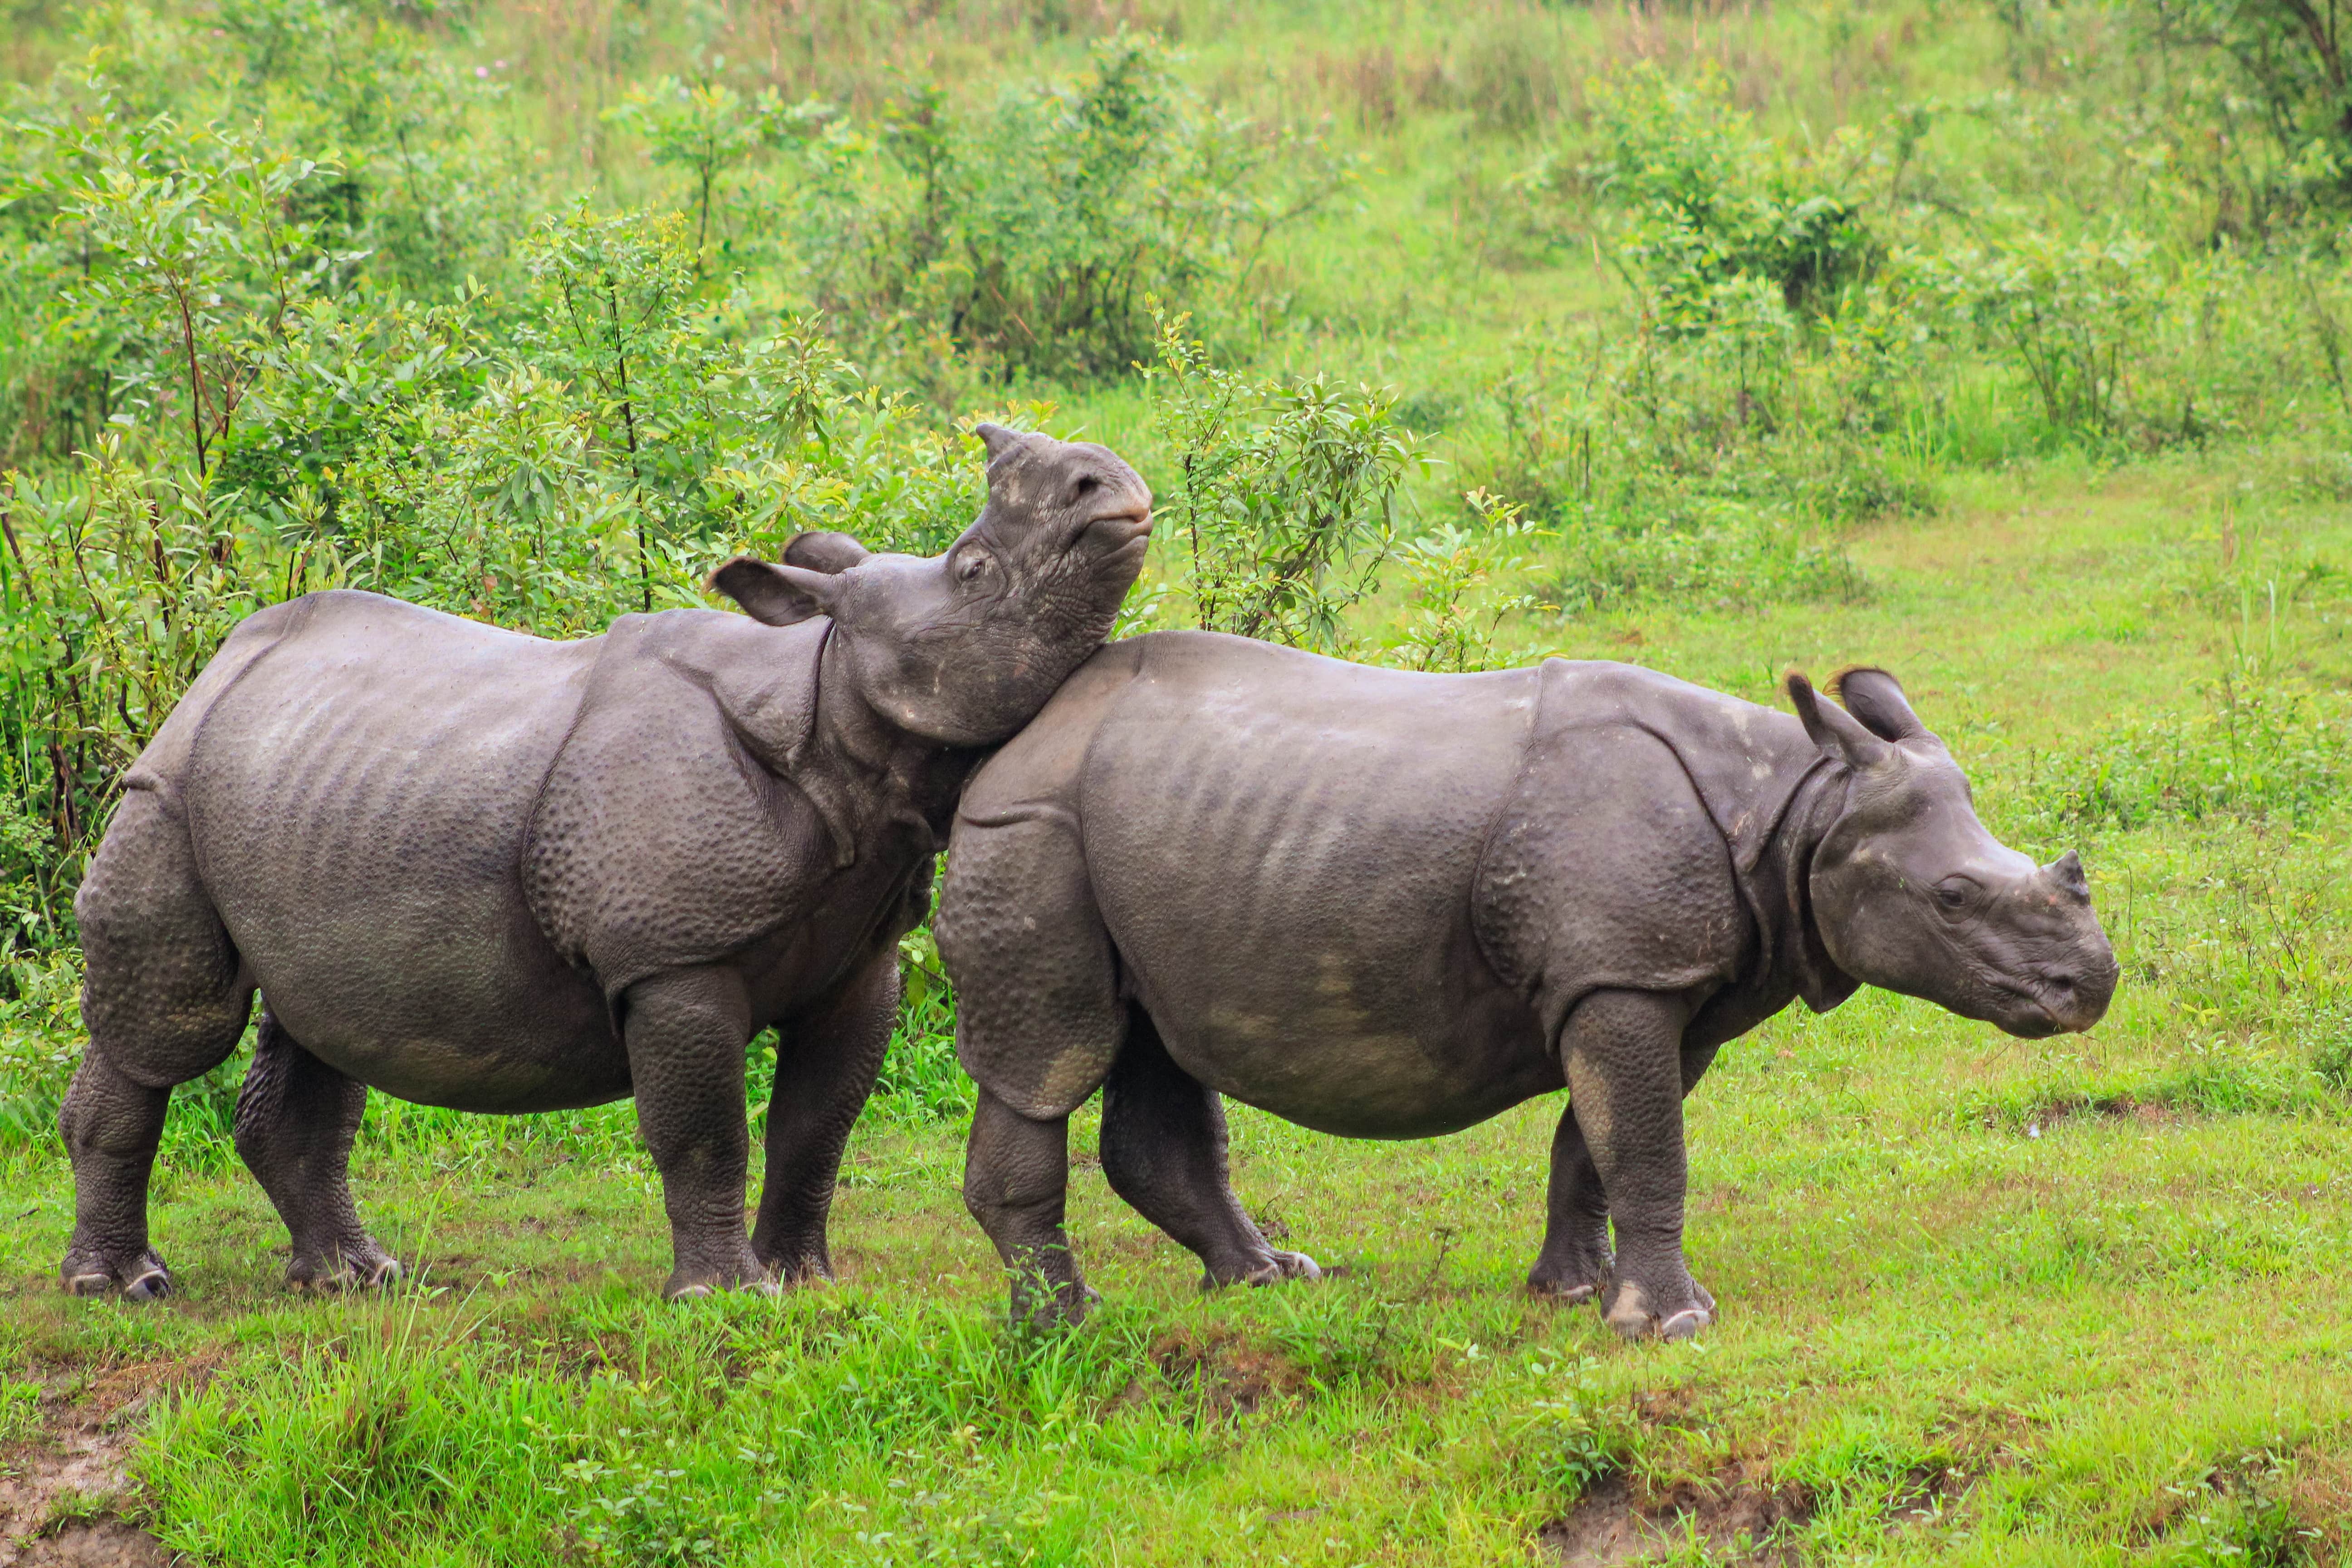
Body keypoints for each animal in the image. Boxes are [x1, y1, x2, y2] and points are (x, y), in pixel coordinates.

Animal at [57, 423, 1157, 1307]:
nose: (1106, 486)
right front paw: (727, 1299)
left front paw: (805, 1281)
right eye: (974, 571)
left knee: (321, 1019)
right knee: (172, 1028)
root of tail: (215, 667)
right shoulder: (671, 954)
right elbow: (707, 1128)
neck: (828, 699)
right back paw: (125, 1288)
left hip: (309, 789)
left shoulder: (860, 956)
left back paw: (354, 1280)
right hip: (166, 788)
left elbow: (818, 1123)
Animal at [941, 644, 2136, 1344]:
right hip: (1029, 826)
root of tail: (1017, 736)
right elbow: (1646, 1145)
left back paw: (1268, 1280)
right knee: (1051, 1054)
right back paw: (1064, 1329)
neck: (1795, 806)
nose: (2091, 984)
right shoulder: (1622, 970)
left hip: (1147, 835)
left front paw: (1571, 1293)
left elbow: (1597, 1143)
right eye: (1953, 896)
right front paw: (1673, 1327)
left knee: (1155, 1044)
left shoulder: (1653, 977)